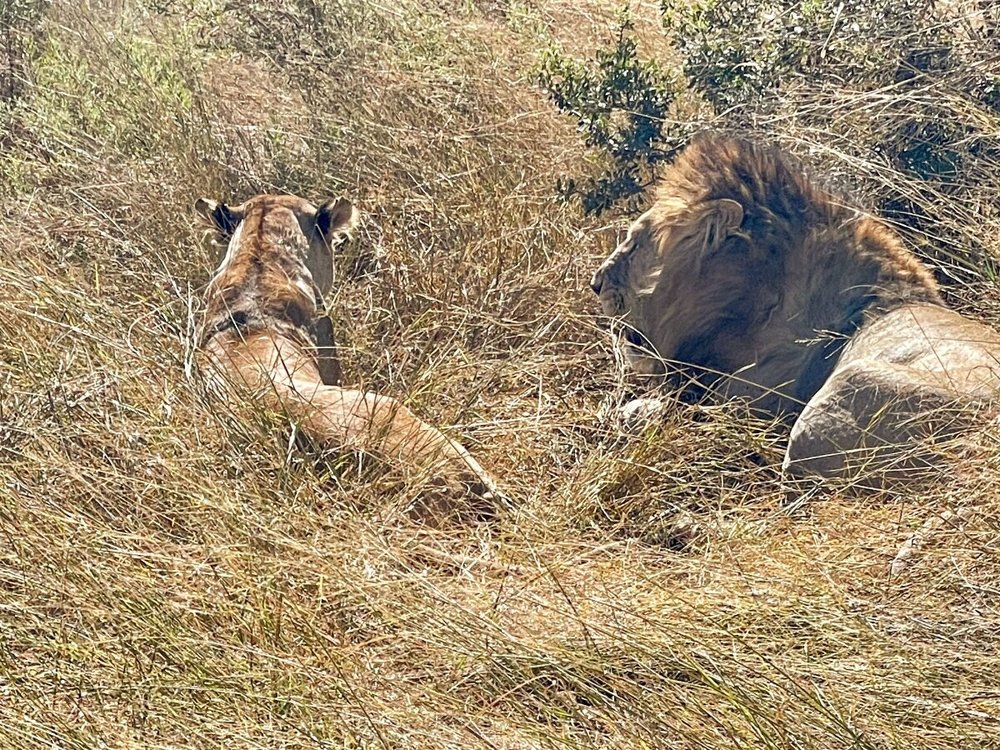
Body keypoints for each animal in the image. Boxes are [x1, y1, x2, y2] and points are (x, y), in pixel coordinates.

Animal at [590, 134, 1000, 484]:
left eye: (634, 242)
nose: (596, 284)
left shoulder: (743, 400)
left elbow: (659, 413)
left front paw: (617, 412)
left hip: (836, 397)